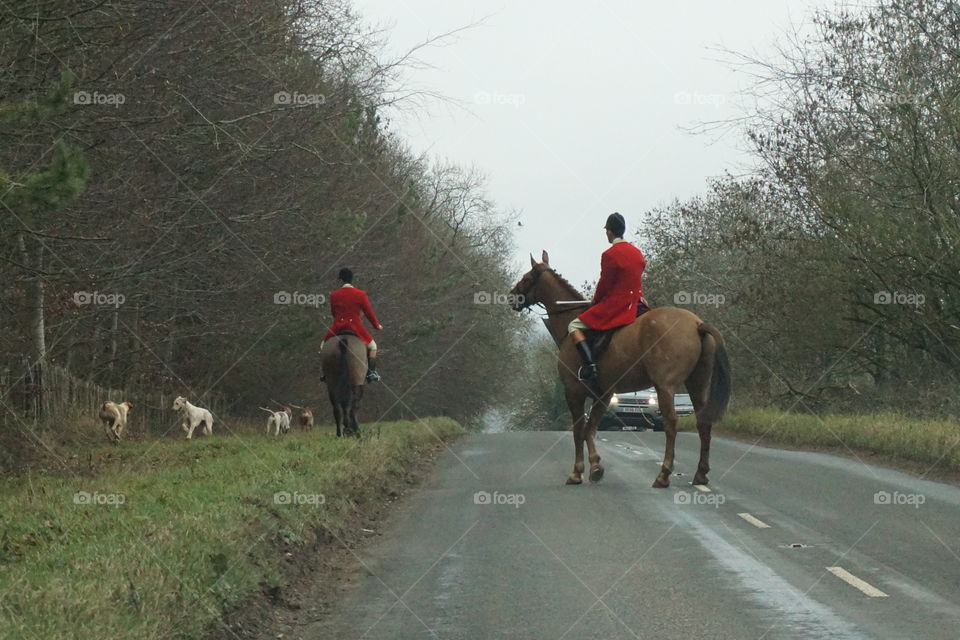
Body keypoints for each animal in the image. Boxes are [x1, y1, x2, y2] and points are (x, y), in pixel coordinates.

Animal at [510, 252, 728, 488]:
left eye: (526, 277)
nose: (511, 298)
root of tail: (696, 324)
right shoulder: (603, 394)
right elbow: (590, 428)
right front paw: (596, 467)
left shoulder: (573, 390)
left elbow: (578, 430)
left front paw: (577, 472)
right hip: (697, 383)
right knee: (703, 423)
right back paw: (700, 474)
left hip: (665, 386)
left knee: (671, 424)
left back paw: (663, 475)